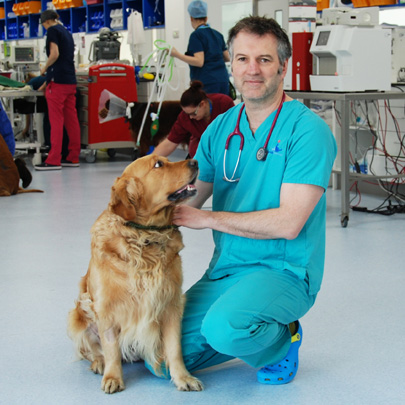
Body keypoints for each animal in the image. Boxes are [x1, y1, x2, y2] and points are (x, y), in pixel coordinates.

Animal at [68, 154, 205, 392]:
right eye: (158, 164)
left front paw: (183, 377)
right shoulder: (106, 309)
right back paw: (99, 363)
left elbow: (174, 348)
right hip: (78, 314)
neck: (146, 236)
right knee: (91, 350)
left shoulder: (171, 304)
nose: (195, 162)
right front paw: (113, 378)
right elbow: (111, 349)